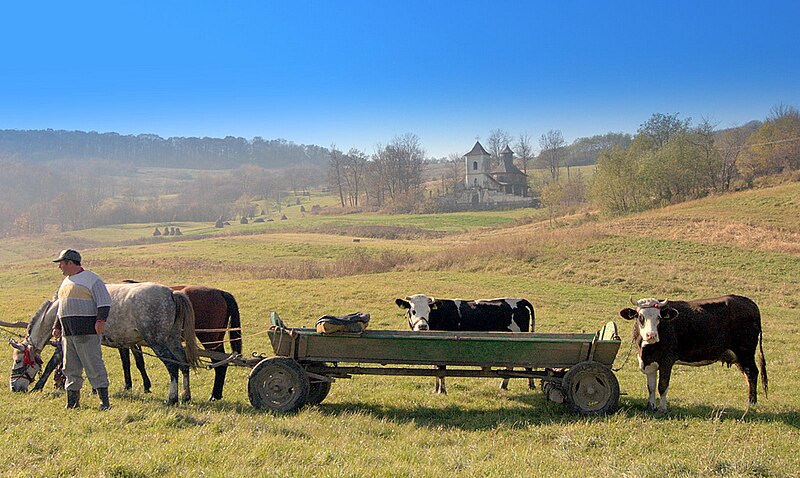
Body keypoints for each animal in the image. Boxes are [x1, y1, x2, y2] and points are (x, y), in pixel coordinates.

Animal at [9, 282, 200, 406]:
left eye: (18, 360)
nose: (14, 387)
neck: (60, 308)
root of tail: (171, 293)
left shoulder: (66, 340)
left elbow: (52, 363)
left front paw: (38, 387)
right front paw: (95, 390)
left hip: (158, 342)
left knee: (172, 366)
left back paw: (172, 399)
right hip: (172, 339)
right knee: (183, 364)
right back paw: (186, 396)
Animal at [396, 294, 536, 394]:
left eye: (428, 311)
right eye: (413, 311)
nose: (423, 327)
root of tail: (520, 300)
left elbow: (441, 369)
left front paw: (442, 391)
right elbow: (435, 368)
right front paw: (435, 389)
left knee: (527, 364)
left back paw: (531, 385)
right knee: (510, 365)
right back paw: (503, 385)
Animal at [620, 294, 768, 412]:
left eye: (659, 317)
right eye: (640, 316)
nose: (651, 335)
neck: (647, 349)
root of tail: (749, 302)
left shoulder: (667, 360)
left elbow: (662, 386)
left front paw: (662, 408)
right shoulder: (649, 362)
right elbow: (650, 387)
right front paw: (651, 406)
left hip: (745, 352)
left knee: (752, 373)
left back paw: (751, 402)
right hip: (738, 356)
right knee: (747, 375)